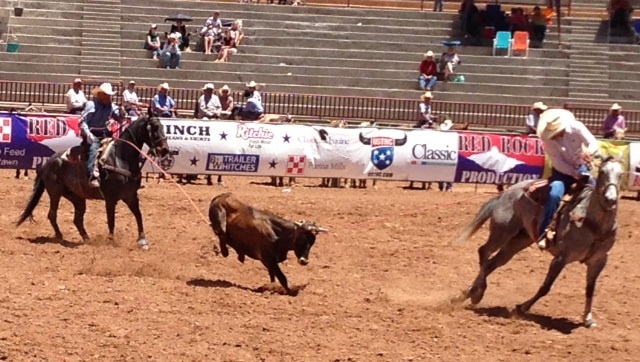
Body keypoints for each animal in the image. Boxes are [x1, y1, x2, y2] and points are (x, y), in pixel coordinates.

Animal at [15, 116, 170, 249]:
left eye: (163, 126)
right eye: (154, 127)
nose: (164, 150)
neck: (120, 157)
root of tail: (47, 163)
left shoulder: (131, 196)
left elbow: (138, 215)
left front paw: (143, 241)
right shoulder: (110, 198)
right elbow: (111, 219)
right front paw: (111, 241)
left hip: (76, 197)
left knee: (77, 219)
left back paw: (87, 239)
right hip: (55, 192)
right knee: (52, 214)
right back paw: (60, 236)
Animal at [452, 156, 624, 328]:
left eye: (621, 174)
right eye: (602, 172)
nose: (610, 199)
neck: (592, 222)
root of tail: (507, 192)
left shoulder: (599, 261)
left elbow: (590, 289)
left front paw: (588, 319)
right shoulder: (561, 258)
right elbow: (545, 287)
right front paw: (522, 307)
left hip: (518, 241)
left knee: (491, 264)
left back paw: (468, 293)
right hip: (502, 232)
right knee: (484, 252)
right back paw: (478, 293)